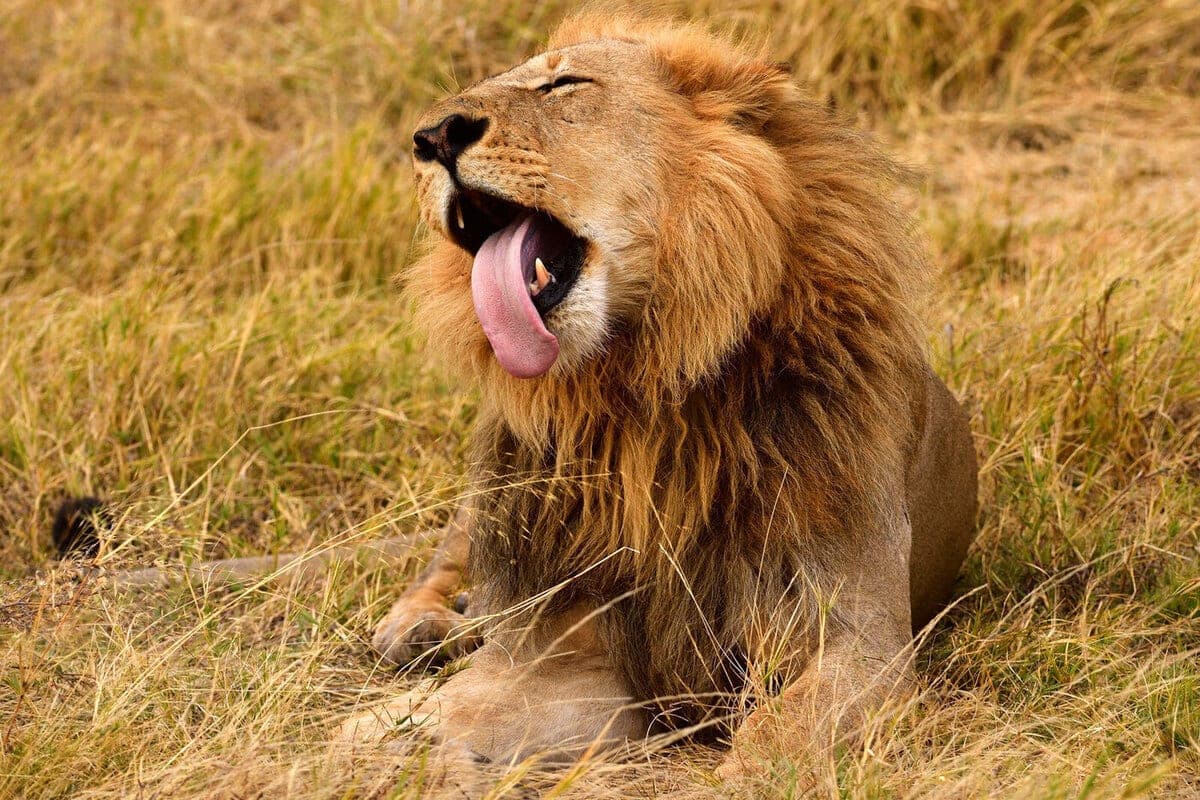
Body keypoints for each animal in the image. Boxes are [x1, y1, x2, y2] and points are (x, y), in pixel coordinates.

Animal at [347, 13, 978, 784]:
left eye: (564, 84)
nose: (431, 137)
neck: (639, 385)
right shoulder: (577, 656)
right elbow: (462, 708)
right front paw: (387, 738)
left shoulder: (867, 645)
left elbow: (783, 732)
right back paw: (427, 624)